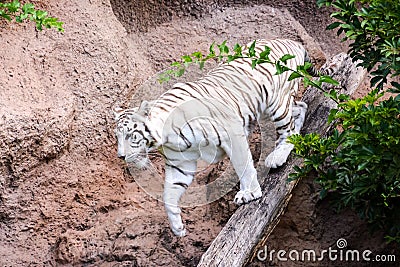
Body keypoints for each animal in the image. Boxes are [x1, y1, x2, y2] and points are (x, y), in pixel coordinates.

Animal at [114, 39, 320, 237]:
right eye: (117, 137)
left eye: (131, 136)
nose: (121, 156)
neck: (168, 136)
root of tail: (292, 42)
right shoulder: (180, 163)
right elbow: (168, 194)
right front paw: (177, 226)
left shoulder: (232, 133)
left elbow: (243, 166)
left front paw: (250, 193)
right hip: (269, 109)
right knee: (301, 107)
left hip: (276, 103)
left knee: (289, 129)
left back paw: (276, 156)